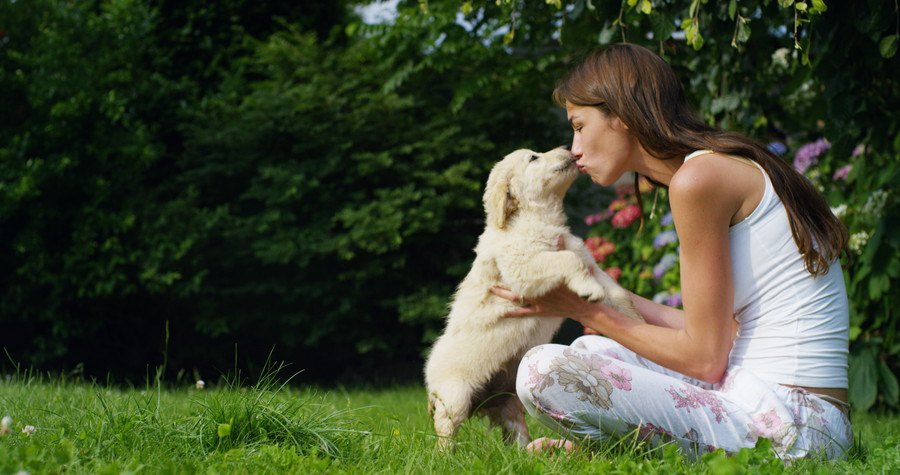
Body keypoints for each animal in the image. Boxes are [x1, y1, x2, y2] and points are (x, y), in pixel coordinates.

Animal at [422, 147, 640, 452]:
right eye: (534, 158)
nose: (568, 148)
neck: (539, 219)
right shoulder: (522, 265)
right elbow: (567, 259)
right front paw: (590, 291)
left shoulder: (590, 263)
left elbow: (617, 292)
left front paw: (636, 320)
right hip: (455, 396)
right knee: (445, 430)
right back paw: (445, 457)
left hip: (511, 403)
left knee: (515, 433)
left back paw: (528, 453)